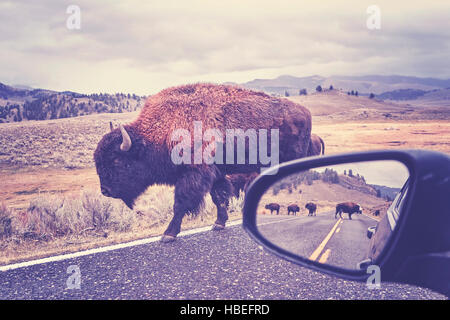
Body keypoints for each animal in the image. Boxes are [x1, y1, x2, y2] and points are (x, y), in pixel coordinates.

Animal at [94, 84, 312, 241]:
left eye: (116, 160)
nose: (105, 190)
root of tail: (305, 112)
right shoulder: (216, 173)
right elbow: (219, 197)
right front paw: (219, 224)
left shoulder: (195, 174)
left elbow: (181, 203)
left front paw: (168, 234)